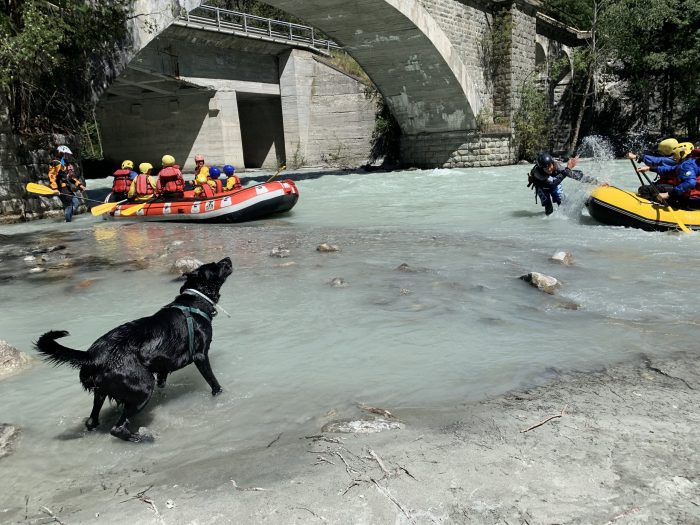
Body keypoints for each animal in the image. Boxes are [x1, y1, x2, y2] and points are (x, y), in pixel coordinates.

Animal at [35, 256, 234, 440]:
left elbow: (163, 382)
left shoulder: (163, 366)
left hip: (101, 392)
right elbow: (214, 382)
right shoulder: (200, 356)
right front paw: (220, 394)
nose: (228, 258)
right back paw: (141, 438)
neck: (195, 301)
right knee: (117, 429)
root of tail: (92, 355)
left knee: (92, 421)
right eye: (215, 265)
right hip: (143, 386)